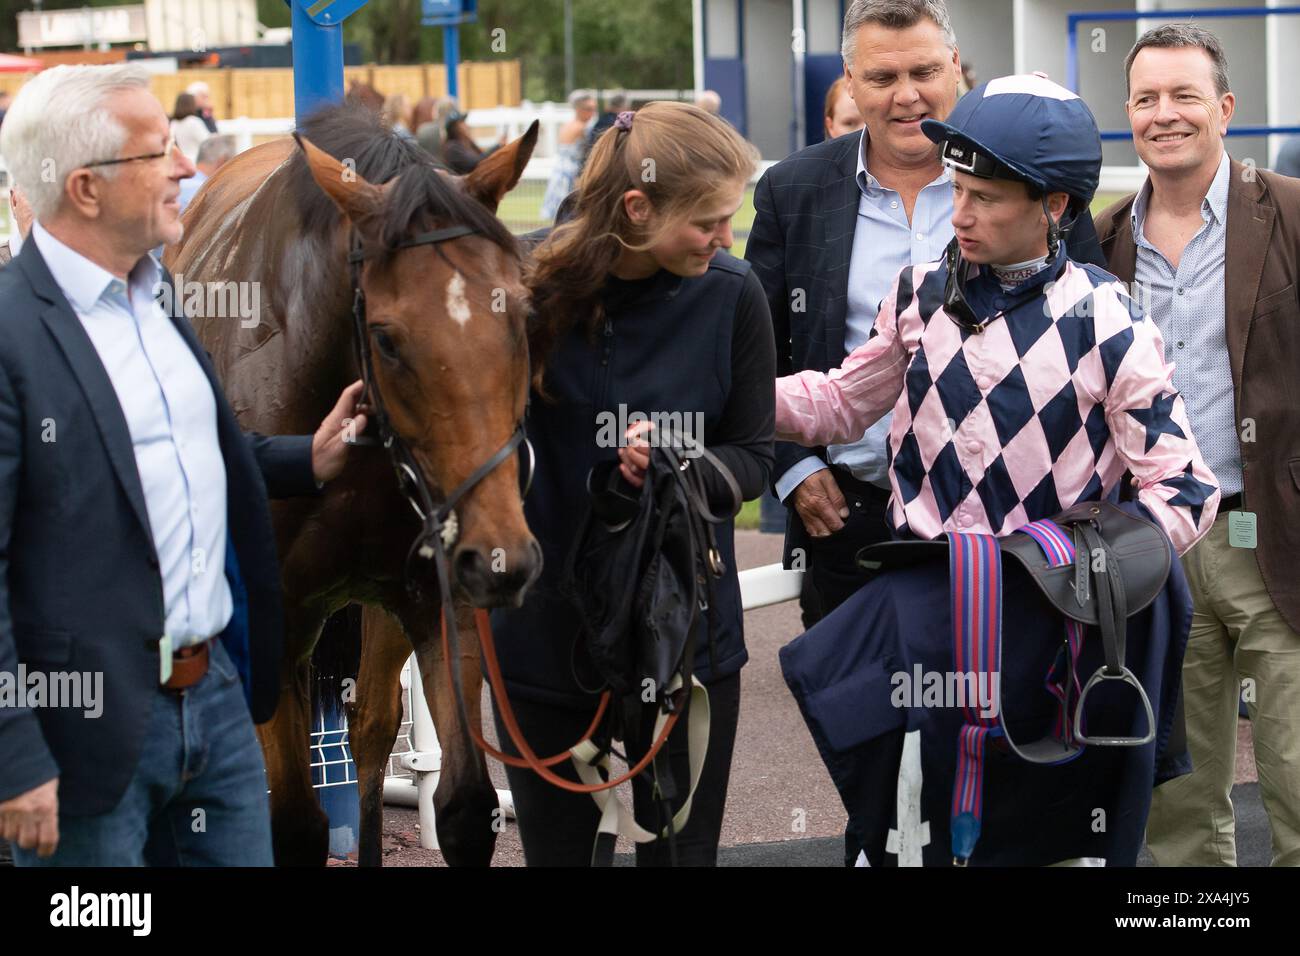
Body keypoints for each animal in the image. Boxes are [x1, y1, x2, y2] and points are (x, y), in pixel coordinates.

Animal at [165, 104, 540, 868]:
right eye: (388, 339)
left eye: (520, 315)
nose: (501, 555)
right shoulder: (276, 621)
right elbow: (295, 826)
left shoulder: (440, 598)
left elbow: (466, 808)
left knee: (371, 722)